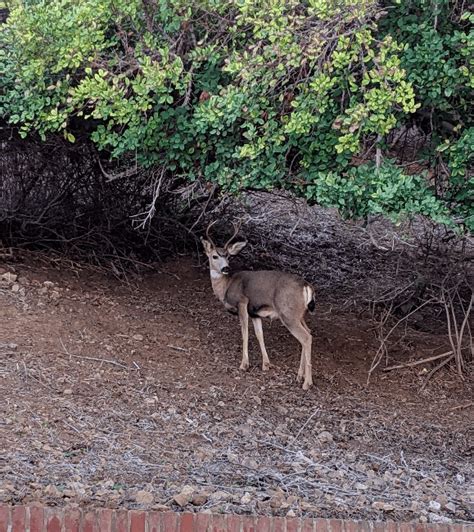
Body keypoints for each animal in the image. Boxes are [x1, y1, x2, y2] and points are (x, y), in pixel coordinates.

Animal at [200, 220, 314, 390]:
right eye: (215, 256)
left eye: (228, 256)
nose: (225, 268)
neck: (227, 286)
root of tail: (306, 286)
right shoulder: (255, 313)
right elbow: (259, 334)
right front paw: (266, 364)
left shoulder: (242, 302)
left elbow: (245, 333)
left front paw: (244, 364)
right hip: (299, 314)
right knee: (308, 332)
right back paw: (299, 376)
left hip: (288, 313)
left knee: (306, 337)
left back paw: (307, 383)